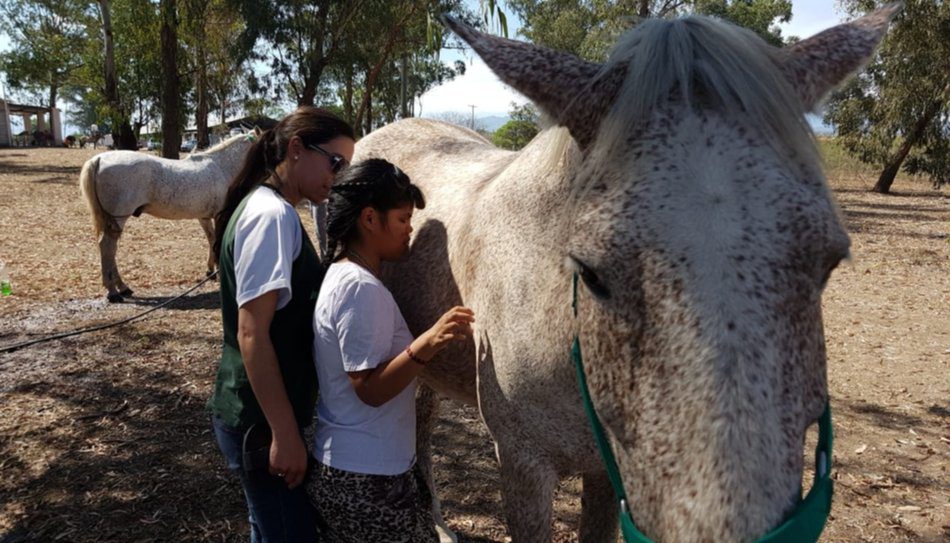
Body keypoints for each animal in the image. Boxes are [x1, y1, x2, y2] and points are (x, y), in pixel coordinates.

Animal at [80, 130, 258, 304]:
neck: (222, 168)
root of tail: (98, 159)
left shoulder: (205, 217)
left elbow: (211, 239)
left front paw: (210, 271)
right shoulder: (219, 216)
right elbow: (216, 241)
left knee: (110, 249)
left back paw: (122, 288)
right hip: (118, 218)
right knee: (107, 247)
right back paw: (114, 292)